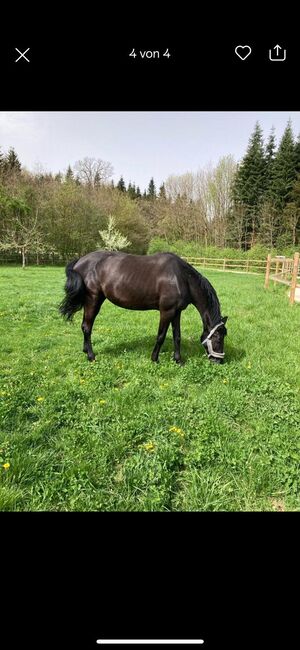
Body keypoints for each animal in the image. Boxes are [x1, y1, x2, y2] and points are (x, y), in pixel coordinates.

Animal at [58, 249, 227, 362]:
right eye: (218, 339)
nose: (219, 361)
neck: (181, 277)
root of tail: (80, 261)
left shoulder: (176, 312)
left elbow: (177, 336)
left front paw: (178, 360)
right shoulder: (166, 311)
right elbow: (161, 336)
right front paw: (155, 359)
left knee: (85, 325)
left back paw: (85, 350)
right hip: (93, 300)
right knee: (87, 327)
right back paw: (91, 356)